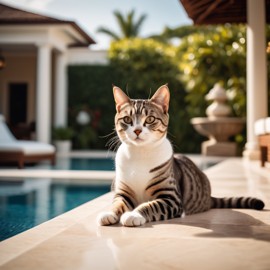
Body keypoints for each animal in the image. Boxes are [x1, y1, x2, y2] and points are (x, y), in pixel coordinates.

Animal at [96, 84, 264, 226]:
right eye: (127, 119)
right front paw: (109, 213)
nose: (137, 130)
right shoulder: (123, 193)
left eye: (150, 119)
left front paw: (134, 214)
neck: (140, 154)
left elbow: (150, 206)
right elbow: (117, 203)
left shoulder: (171, 199)